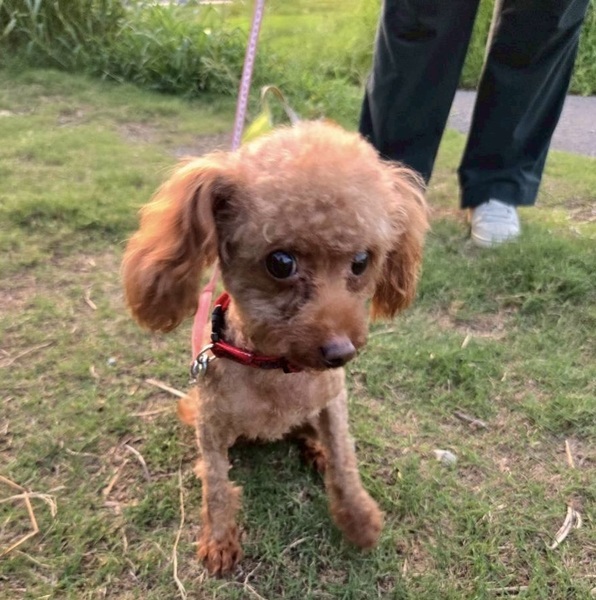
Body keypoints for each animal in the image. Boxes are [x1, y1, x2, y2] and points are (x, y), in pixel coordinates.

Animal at [122, 121, 428, 575]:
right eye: (280, 263)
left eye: (361, 261)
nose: (341, 353)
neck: (274, 366)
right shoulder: (212, 426)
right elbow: (217, 484)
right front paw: (219, 541)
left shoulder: (333, 401)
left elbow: (344, 458)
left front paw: (359, 520)